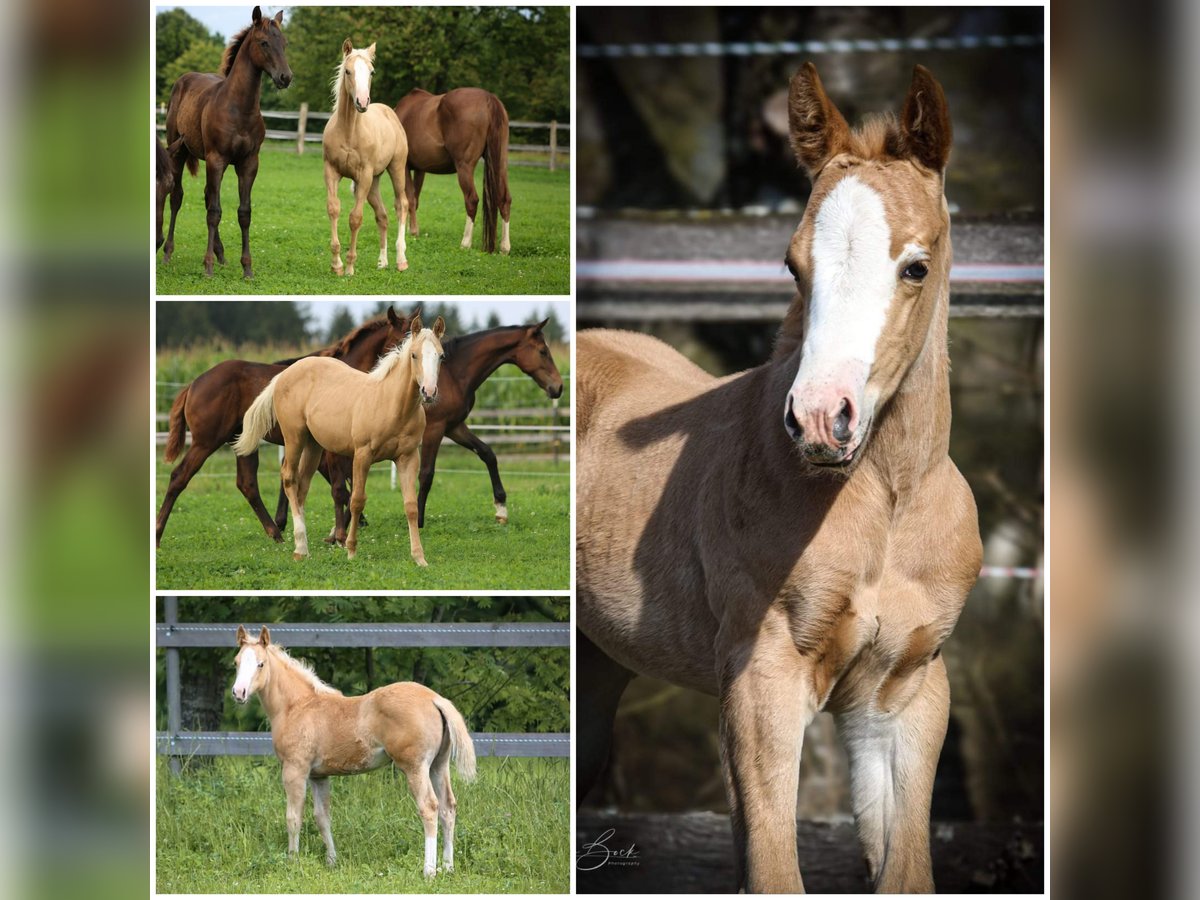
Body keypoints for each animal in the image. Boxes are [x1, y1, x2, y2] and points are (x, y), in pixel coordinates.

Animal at [154, 309, 410, 549]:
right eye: (400, 341)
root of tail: (193, 384)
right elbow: (339, 487)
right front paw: (338, 534)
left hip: (242, 443)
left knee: (247, 483)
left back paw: (275, 533)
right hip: (206, 441)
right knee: (179, 477)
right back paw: (157, 534)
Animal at [231, 628, 475, 873]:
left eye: (261, 664)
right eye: (236, 662)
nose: (238, 693)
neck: (297, 706)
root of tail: (435, 699)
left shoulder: (295, 770)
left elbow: (293, 818)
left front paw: (293, 862)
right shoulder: (319, 776)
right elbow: (322, 817)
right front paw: (331, 861)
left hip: (415, 767)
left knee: (429, 808)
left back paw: (429, 871)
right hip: (438, 765)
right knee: (448, 808)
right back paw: (448, 867)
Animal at [234, 316, 446, 564]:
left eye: (441, 356)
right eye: (414, 355)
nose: (428, 392)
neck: (391, 404)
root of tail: (284, 375)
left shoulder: (408, 458)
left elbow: (411, 506)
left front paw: (419, 558)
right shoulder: (362, 456)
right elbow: (356, 500)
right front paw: (351, 550)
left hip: (313, 446)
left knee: (302, 486)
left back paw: (303, 547)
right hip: (294, 437)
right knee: (289, 479)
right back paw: (299, 545)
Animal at [391, 87, 508, 254]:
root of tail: (489, 98)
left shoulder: (405, 167)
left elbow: (410, 199)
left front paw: (412, 231)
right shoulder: (420, 169)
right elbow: (415, 198)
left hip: (464, 166)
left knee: (472, 200)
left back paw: (465, 243)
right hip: (500, 164)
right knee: (504, 199)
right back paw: (505, 247)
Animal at [578, 63, 984, 897]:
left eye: (915, 266)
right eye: (795, 265)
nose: (822, 419)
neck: (887, 506)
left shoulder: (904, 698)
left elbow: (905, 872)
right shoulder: (762, 684)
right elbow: (773, 870)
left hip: (599, 666)